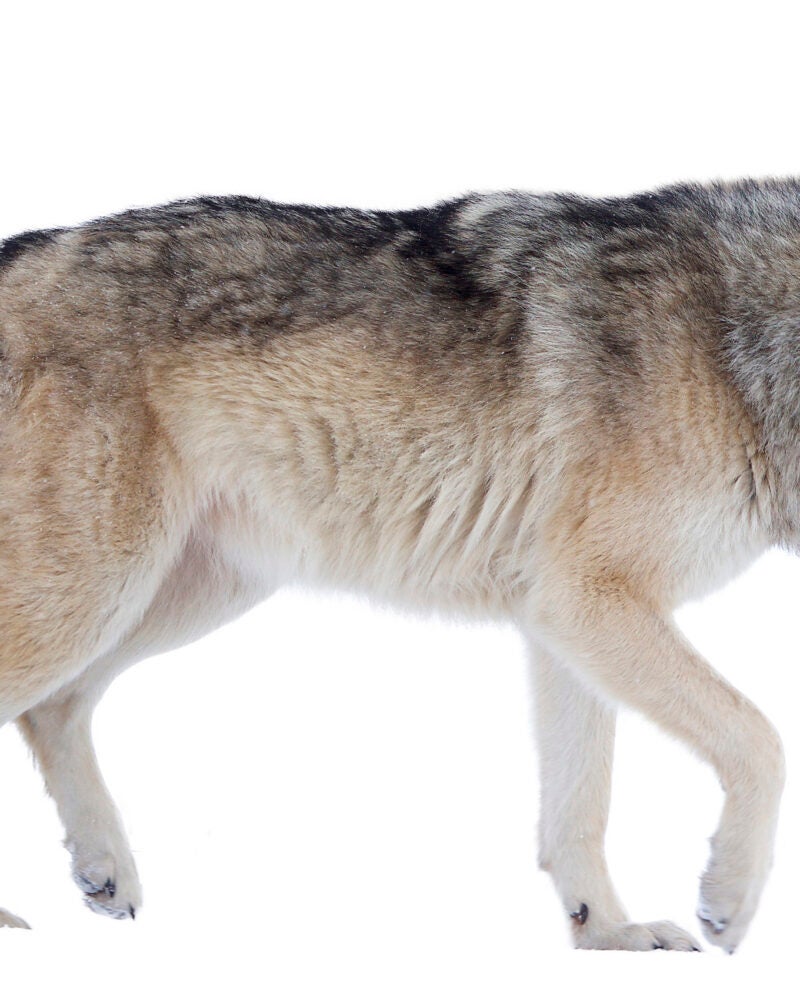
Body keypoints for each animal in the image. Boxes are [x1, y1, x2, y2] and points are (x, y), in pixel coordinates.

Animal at [0, 180, 796, 952]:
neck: (738, 350)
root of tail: (23, 247)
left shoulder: (562, 617)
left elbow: (579, 807)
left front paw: (608, 933)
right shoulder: (588, 597)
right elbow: (762, 739)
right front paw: (728, 902)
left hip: (185, 593)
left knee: (54, 708)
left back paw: (104, 868)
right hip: (94, 593)